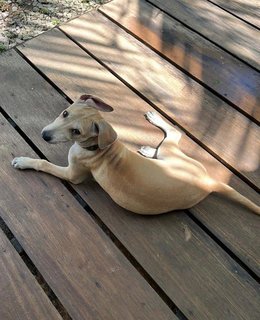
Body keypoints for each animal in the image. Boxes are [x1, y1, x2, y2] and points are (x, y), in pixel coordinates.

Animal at [11, 95, 260, 215]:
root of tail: (208, 182)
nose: (44, 136)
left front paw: (24, 161)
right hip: (172, 157)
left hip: (173, 155)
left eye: (76, 131)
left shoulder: (73, 175)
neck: (98, 148)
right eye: (65, 113)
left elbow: (44, 163)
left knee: (175, 132)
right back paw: (150, 145)